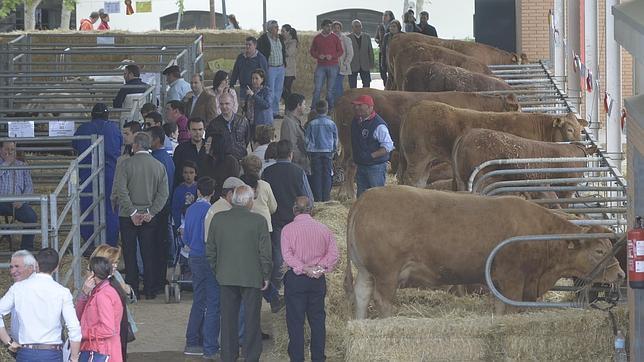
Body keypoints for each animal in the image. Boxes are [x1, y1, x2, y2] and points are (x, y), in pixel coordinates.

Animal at [344, 185, 628, 318]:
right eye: (599, 249)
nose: (621, 274)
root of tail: (365, 198)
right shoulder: (514, 280)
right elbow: (511, 309)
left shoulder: (501, 282)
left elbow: (501, 310)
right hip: (386, 273)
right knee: (381, 299)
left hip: (365, 270)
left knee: (361, 294)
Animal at [402, 101, 588, 188]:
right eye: (569, 129)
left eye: (581, 130)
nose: (579, 144)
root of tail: (417, 105)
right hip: (417, 158)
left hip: (427, 162)